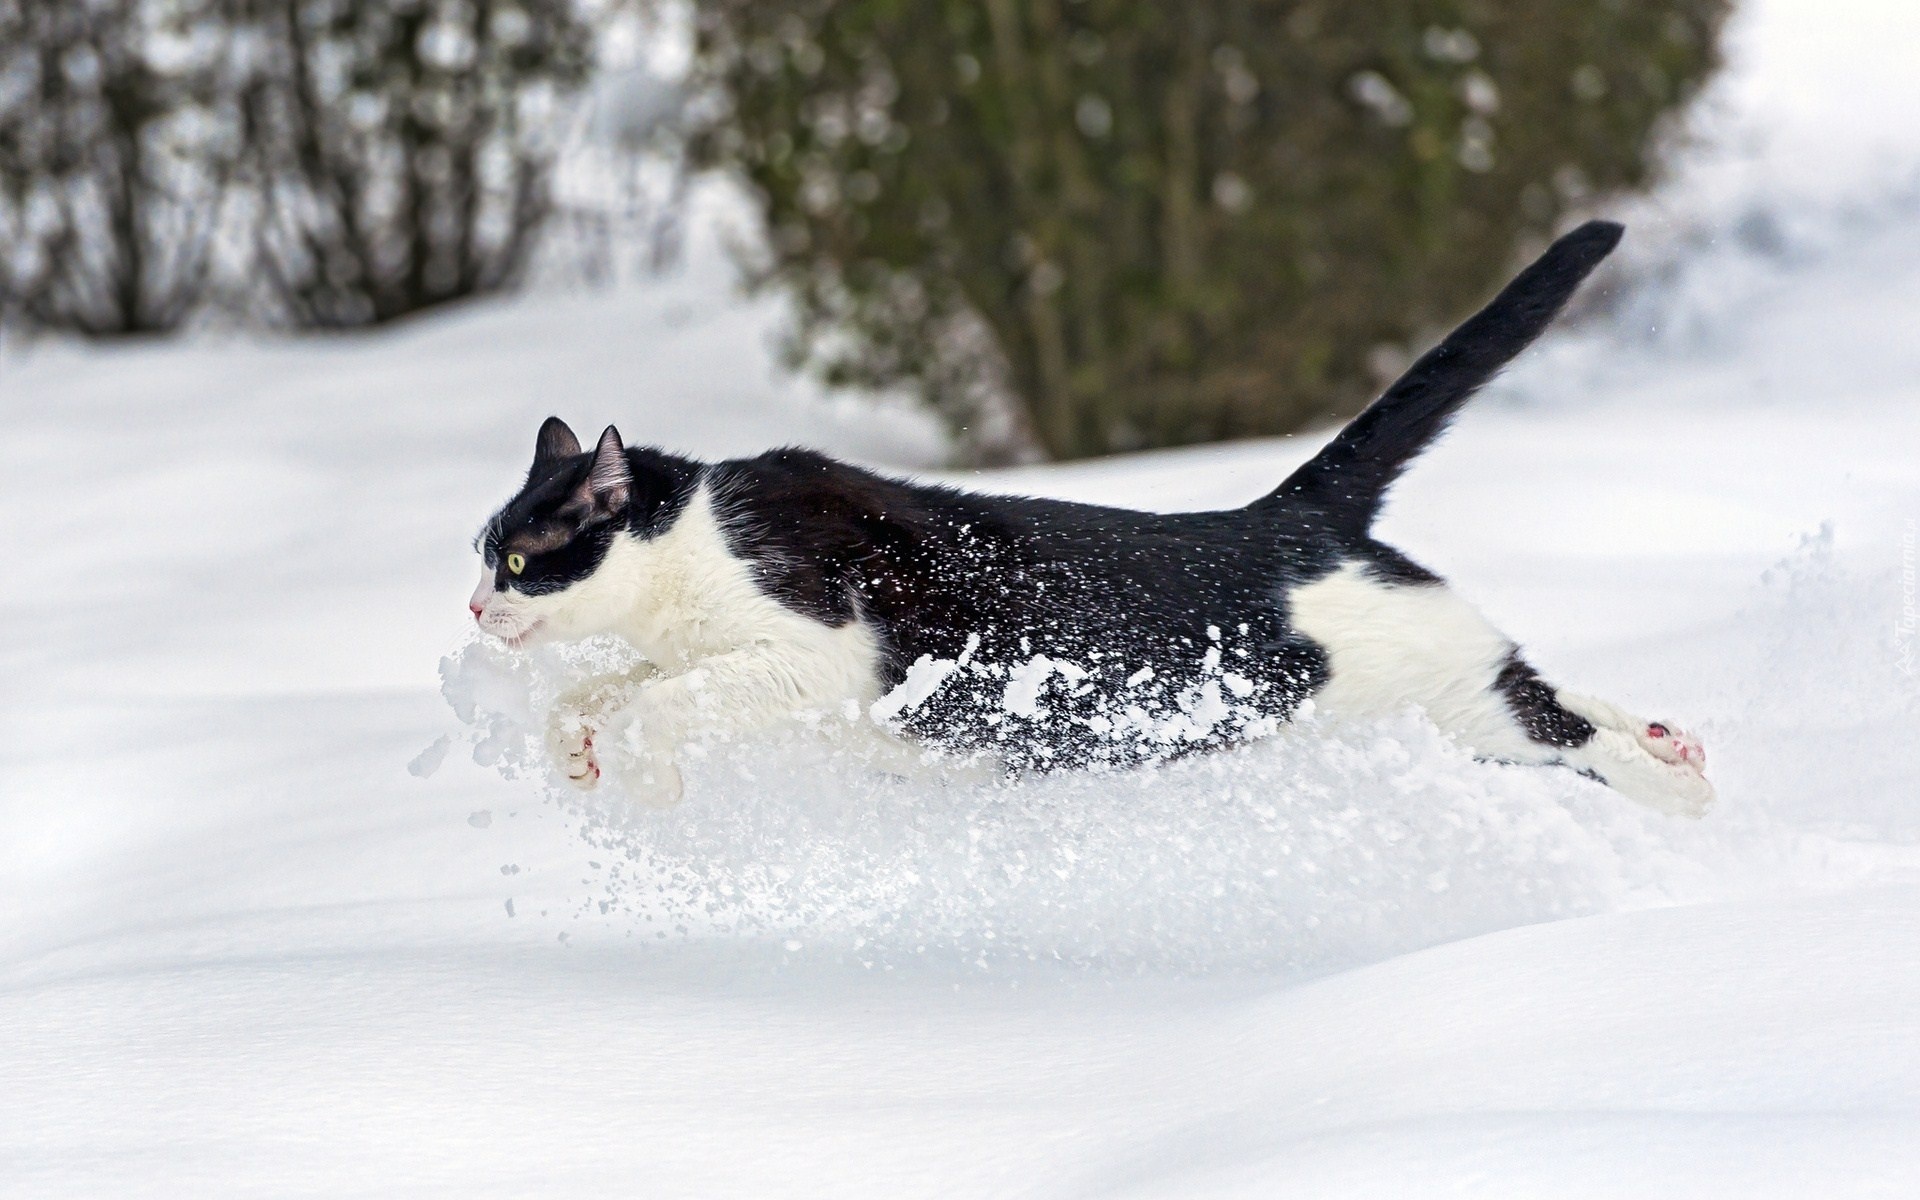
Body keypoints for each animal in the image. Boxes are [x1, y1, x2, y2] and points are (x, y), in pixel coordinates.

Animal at [472, 217, 1720, 814]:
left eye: (524, 560)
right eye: (480, 557)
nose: (478, 608)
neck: (689, 544)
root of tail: (1285, 513)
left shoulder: (806, 653)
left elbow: (655, 706)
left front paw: (642, 780)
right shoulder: (694, 655)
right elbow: (603, 691)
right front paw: (577, 755)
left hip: (1440, 689)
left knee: (1560, 722)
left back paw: (1682, 791)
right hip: (1444, 693)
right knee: (1559, 688)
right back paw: (1679, 743)